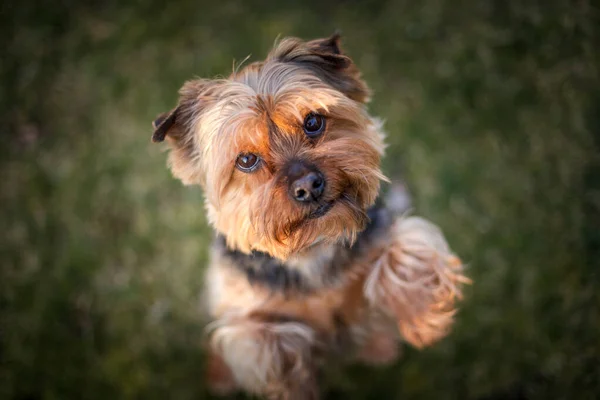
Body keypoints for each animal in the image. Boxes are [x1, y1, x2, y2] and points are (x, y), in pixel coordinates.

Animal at [151, 32, 468, 398]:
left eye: (313, 122)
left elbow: (408, 250)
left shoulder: (384, 236)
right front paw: (296, 370)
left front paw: (421, 320)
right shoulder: (244, 316)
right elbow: (263, 341)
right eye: (246, 160)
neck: (312, 249)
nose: (308, 186)